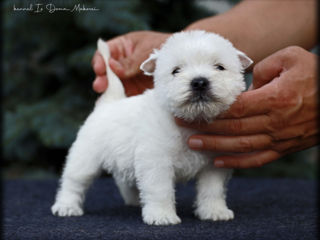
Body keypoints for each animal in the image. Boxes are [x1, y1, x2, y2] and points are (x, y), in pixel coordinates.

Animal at [51, 30, 252, 225]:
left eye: (219, 67)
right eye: (176, 71)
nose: (199, 82)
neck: (191, 122)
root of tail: (108, 103)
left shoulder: (214, 164)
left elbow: (212, 190)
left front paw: (214, 211)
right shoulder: (156, 162)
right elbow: (160, 190)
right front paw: (161, 216)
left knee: (125, 181)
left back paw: (135, 201)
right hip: (85, 157)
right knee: (73, 182)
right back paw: (66, 206)